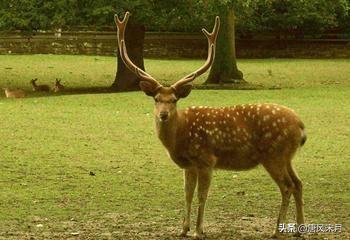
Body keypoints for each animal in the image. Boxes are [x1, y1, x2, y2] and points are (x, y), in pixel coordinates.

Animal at [115, 12, 306, 239]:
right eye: (156, 99)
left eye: (174, 100)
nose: (163, 114)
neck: (180, 136)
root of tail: (301, 126)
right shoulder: (189, 165)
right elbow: (187, 194)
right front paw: (183, 229)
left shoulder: (206, 159)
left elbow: (202, 195)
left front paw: (199, 230)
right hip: (287, 156)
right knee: (298, 183)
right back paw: (299, 229)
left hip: (273, 155)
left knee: (287, 186)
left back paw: (277, 230)